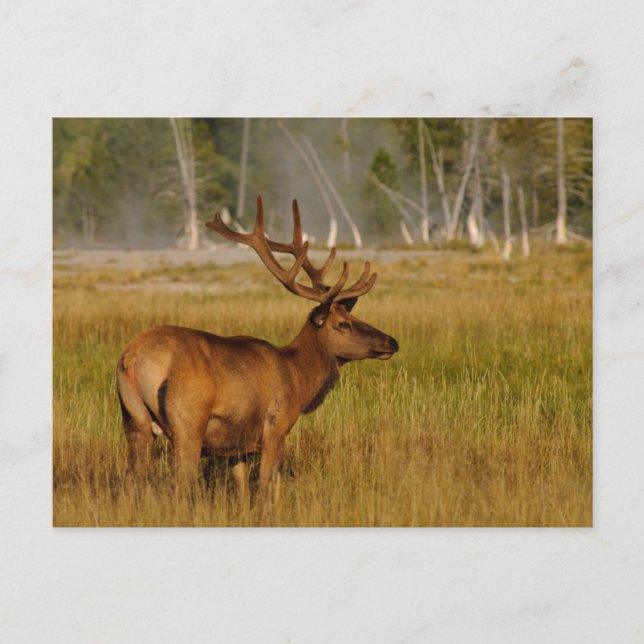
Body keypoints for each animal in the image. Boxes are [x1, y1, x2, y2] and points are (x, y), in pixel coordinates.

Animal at [116, 196, 398, 505]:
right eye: (343, 324)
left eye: (354, 316)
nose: (391, 342)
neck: (297, 378)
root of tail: (132, 358)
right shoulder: (275, 428)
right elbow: (264, 488)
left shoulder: (237, 446)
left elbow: (243, 492)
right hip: (187, 423)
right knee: (180, 485)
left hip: (134, 421)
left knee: (130, 483)